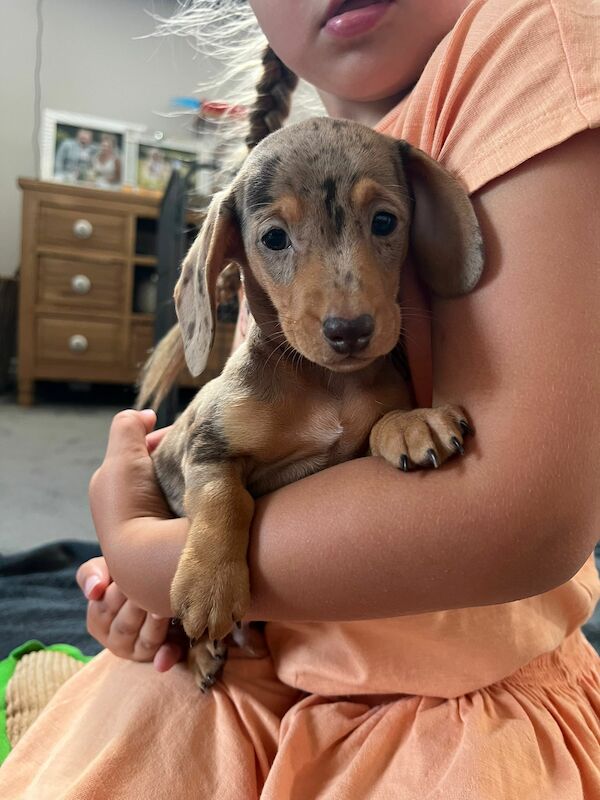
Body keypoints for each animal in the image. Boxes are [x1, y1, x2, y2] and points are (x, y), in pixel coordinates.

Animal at [139, 115, 482, 692]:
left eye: (385, 221)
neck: (323, 384)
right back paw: (201, 653)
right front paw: (209, 584)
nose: (350, 331)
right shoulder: (206, 448)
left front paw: (410, 422)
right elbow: (225, 498)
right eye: (274, 238)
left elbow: (381, 420)